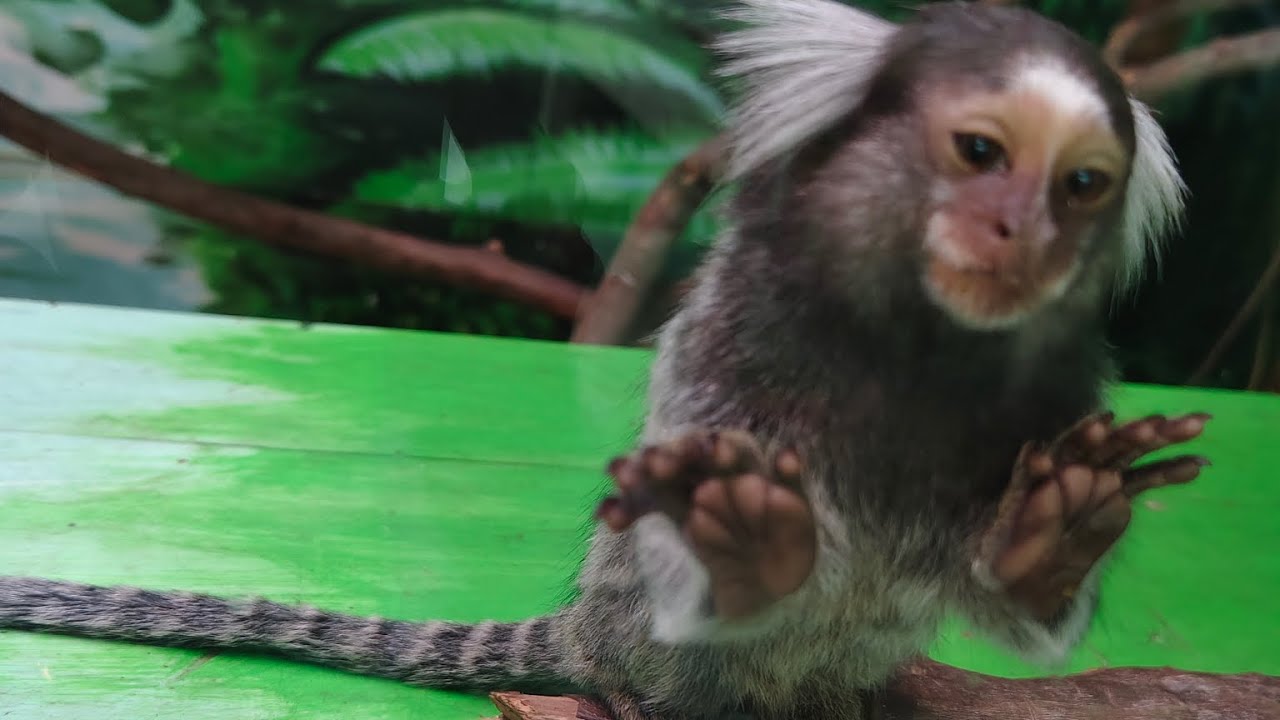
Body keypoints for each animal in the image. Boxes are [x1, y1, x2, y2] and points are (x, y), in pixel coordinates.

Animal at [0, 2, 1213, 719]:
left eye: (1081, 185)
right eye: (979, 152)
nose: (1019, 233)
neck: (913, 349)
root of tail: (583, 633)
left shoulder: (1057, 393)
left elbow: (1000, 589)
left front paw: (1058, 530)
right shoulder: (724, 348)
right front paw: (752, 541)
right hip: (634, 637)